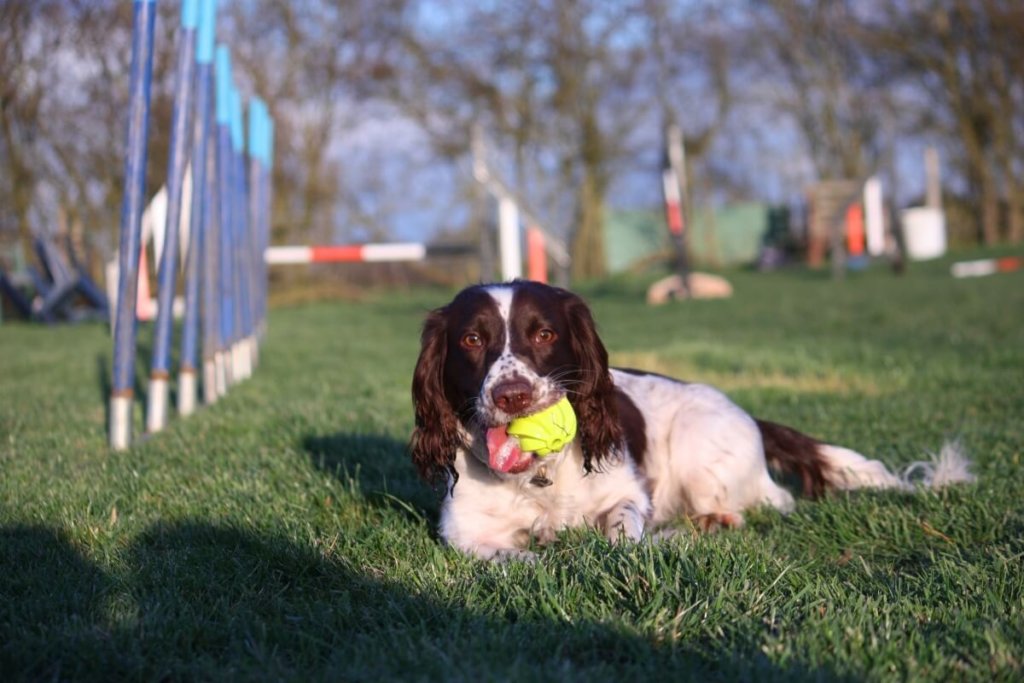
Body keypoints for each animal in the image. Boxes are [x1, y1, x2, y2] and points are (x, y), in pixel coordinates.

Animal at [409, 282, 974, 561]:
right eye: (472, 339)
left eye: (544, 334)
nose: (512, 395)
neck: (539, 477)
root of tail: (751, 416)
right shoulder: (462, 531)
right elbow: (509, 558)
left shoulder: (627, 494)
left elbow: (622, 529)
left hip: (699, 447)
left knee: (773, 501)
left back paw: (712, 522)